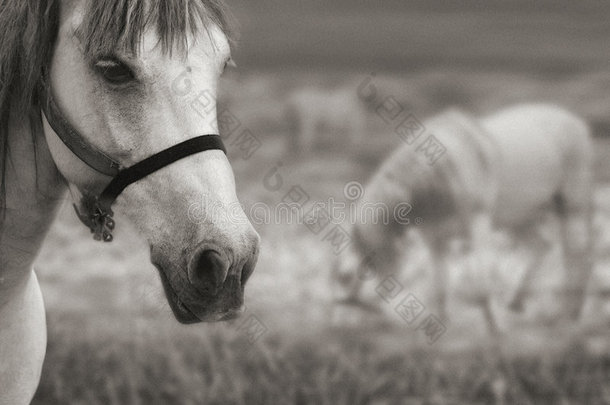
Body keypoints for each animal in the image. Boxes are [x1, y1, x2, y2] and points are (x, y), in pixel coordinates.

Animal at [330, 102, 592, 332]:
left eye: (373, 256)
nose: (365, 310)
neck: (437, 180)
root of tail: (575, 120)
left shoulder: (478, 224)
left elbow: (483, 278)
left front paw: (496, 328)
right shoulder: (434, 238)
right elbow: (439, 284)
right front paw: (441, 323)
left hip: (571, 205)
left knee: (576, 253)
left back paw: (567, 314)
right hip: (518, 217)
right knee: (541, 246)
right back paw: (516, 302)